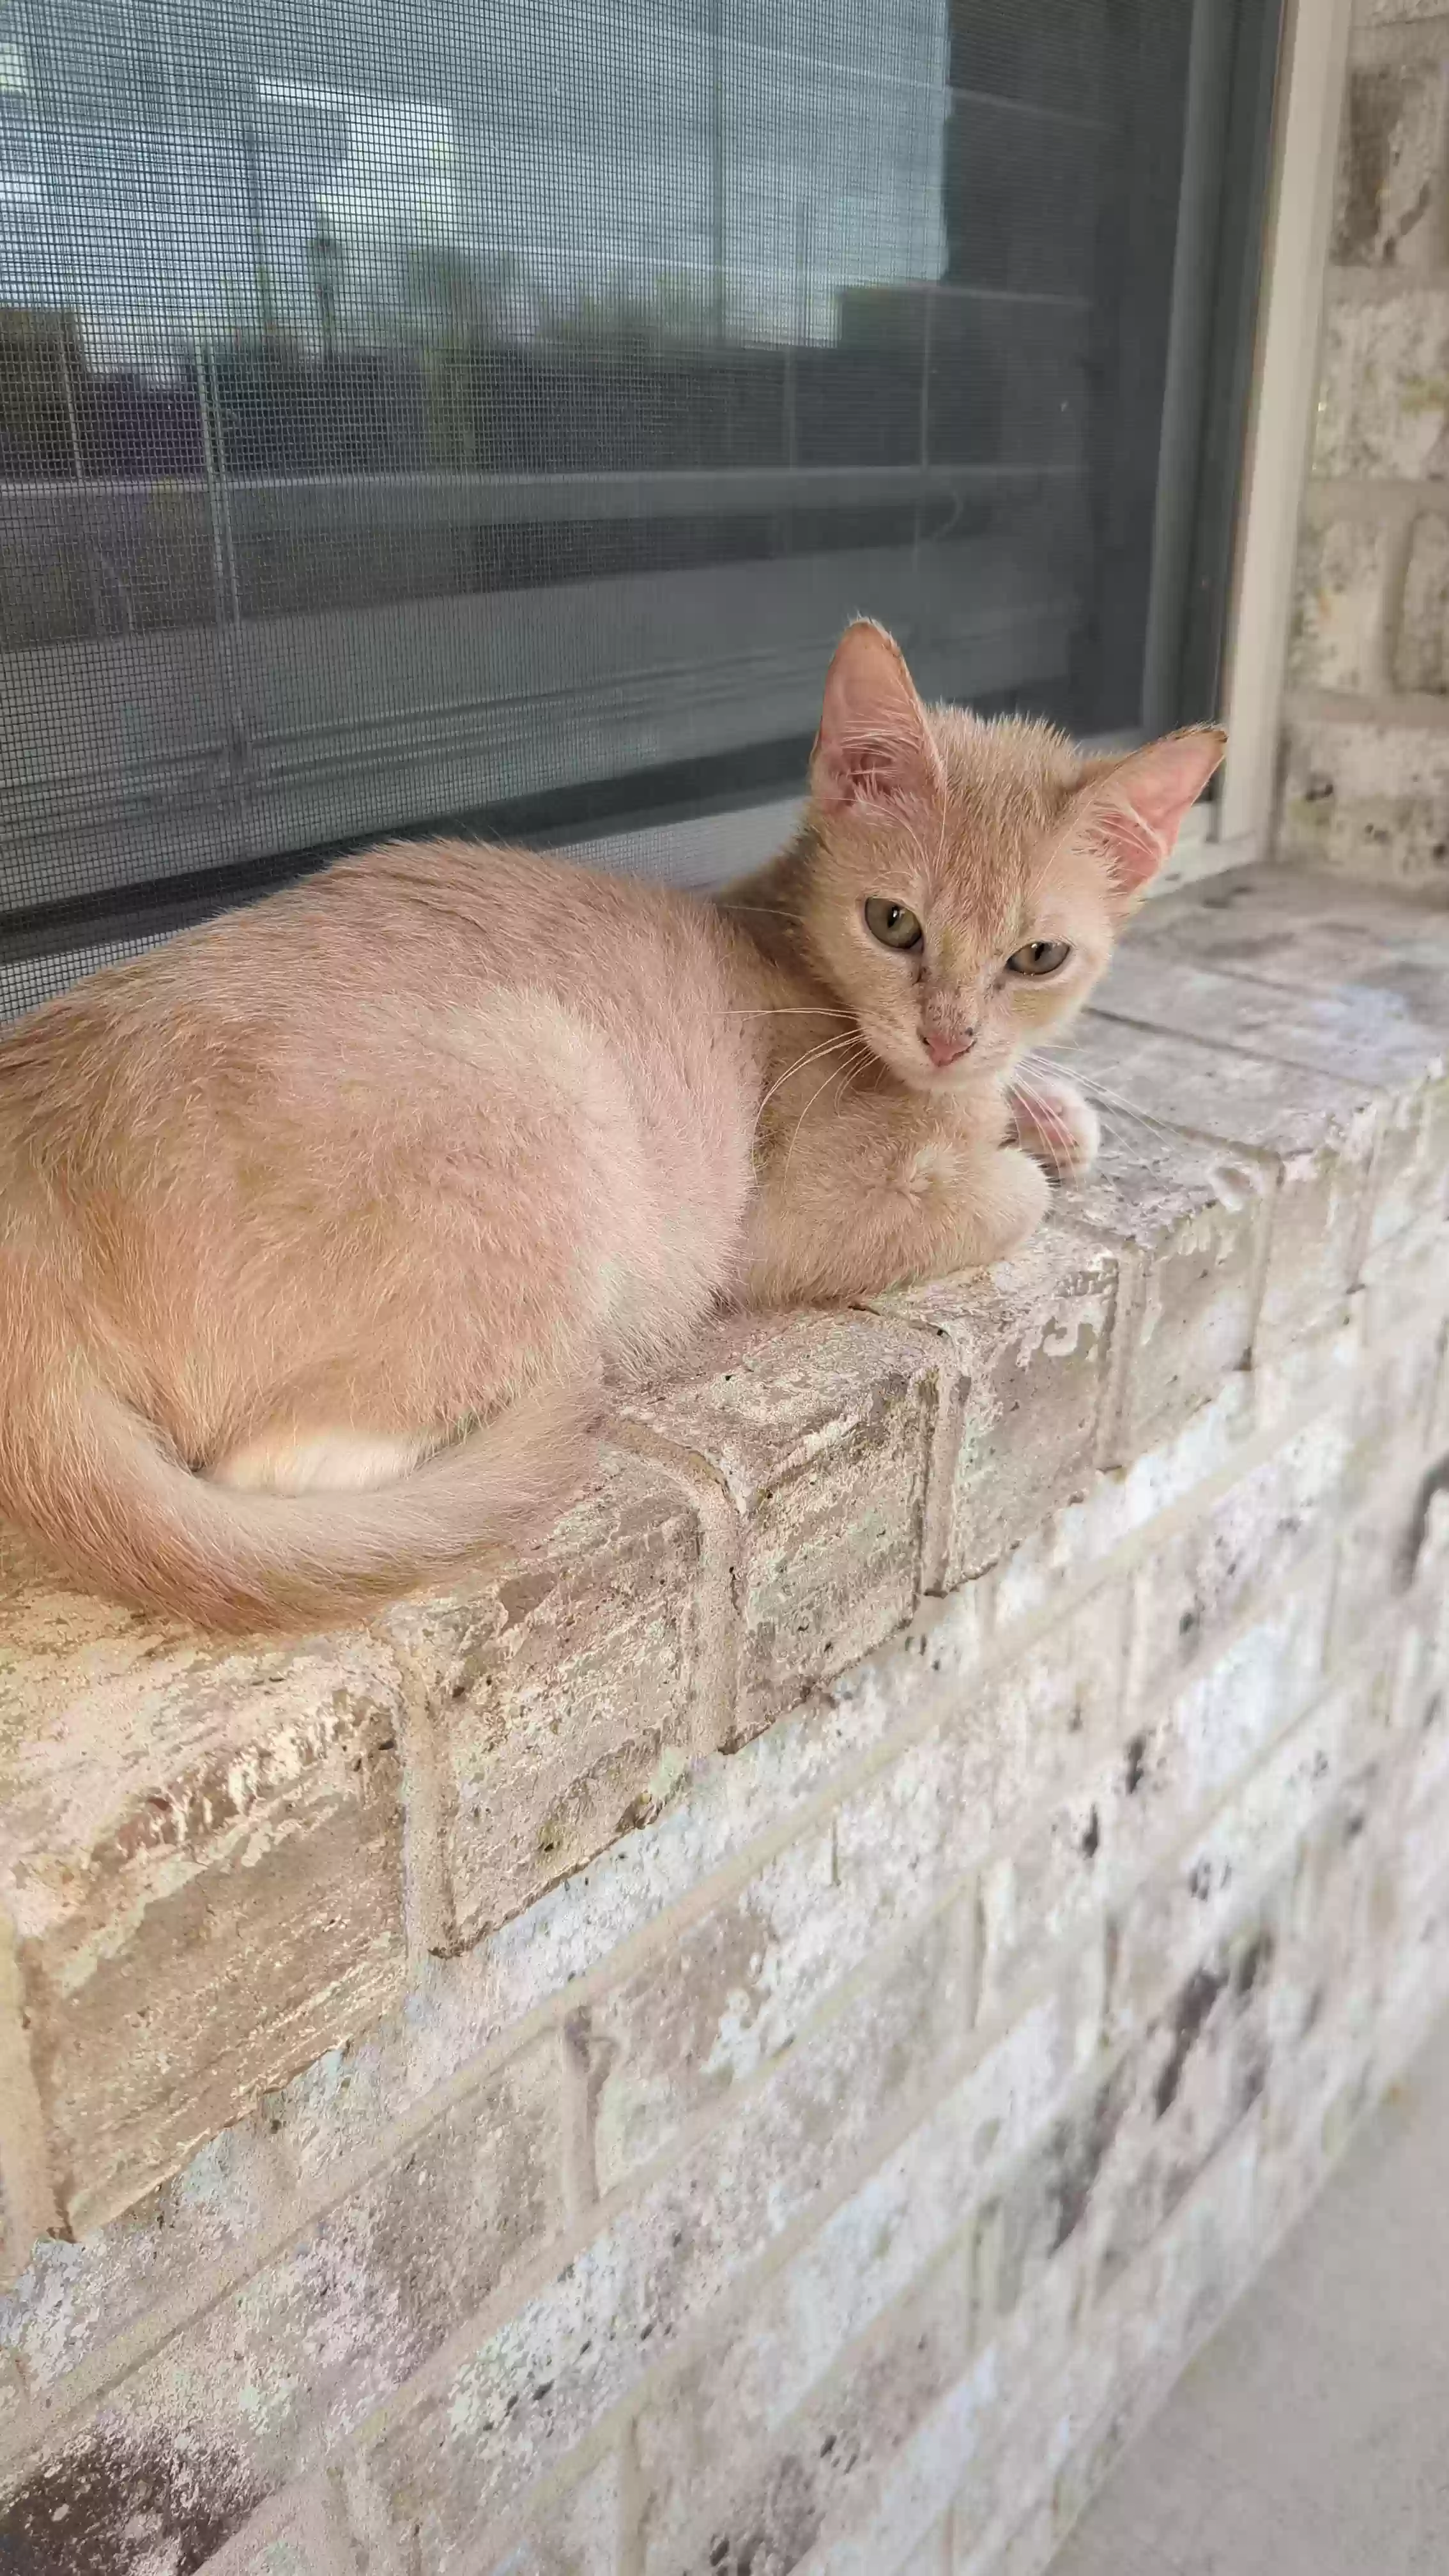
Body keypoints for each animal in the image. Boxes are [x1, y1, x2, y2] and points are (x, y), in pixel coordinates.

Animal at [0, 625, 1216, 1628]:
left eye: (1037, 957)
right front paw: (1012, 1148)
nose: (950, 1036)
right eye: (894, 923)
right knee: (282, 1465)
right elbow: (1007, 1198)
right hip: (554, 1095)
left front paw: (1044, 1107)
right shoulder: (786, 1216)